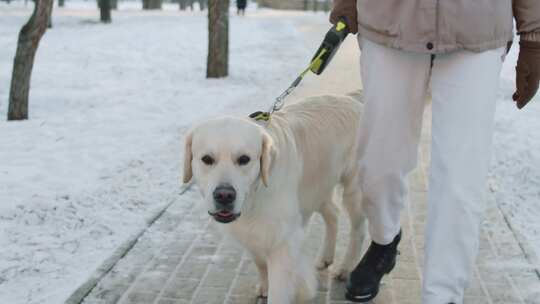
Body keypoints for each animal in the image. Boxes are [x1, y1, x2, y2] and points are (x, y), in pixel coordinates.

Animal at [181, 94, 368, 302]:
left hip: (354, 190)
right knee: (333, 213)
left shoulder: (283, 240)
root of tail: (353, 101)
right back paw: (325, 257)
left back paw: (345, 268)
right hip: (318, 189)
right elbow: (260, 263)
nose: (224, 195)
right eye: (207, 159)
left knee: (358, 230)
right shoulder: (253, 234)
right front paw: (264, 285)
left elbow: (279, 290)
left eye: (244, 159)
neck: (256, 196)